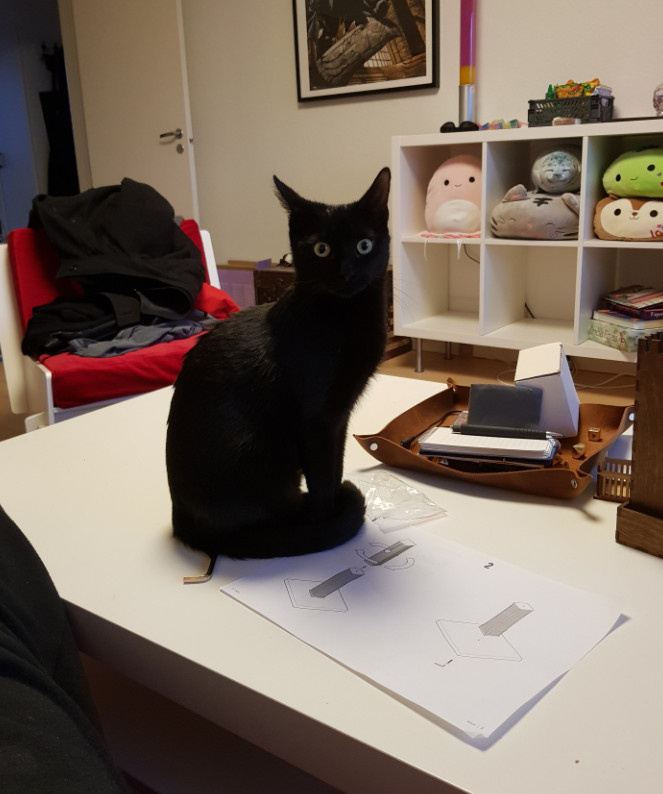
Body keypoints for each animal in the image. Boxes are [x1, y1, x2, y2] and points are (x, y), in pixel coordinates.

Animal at [166, 169, 392, 556]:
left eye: (365, 245)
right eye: (321, 249)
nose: (347, 273)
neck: (343, 319)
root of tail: (182, 524)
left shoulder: (339, 416)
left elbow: (335, 466)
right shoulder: (316, 419)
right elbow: (323, 478)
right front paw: (328, 523)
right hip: (264, 450)